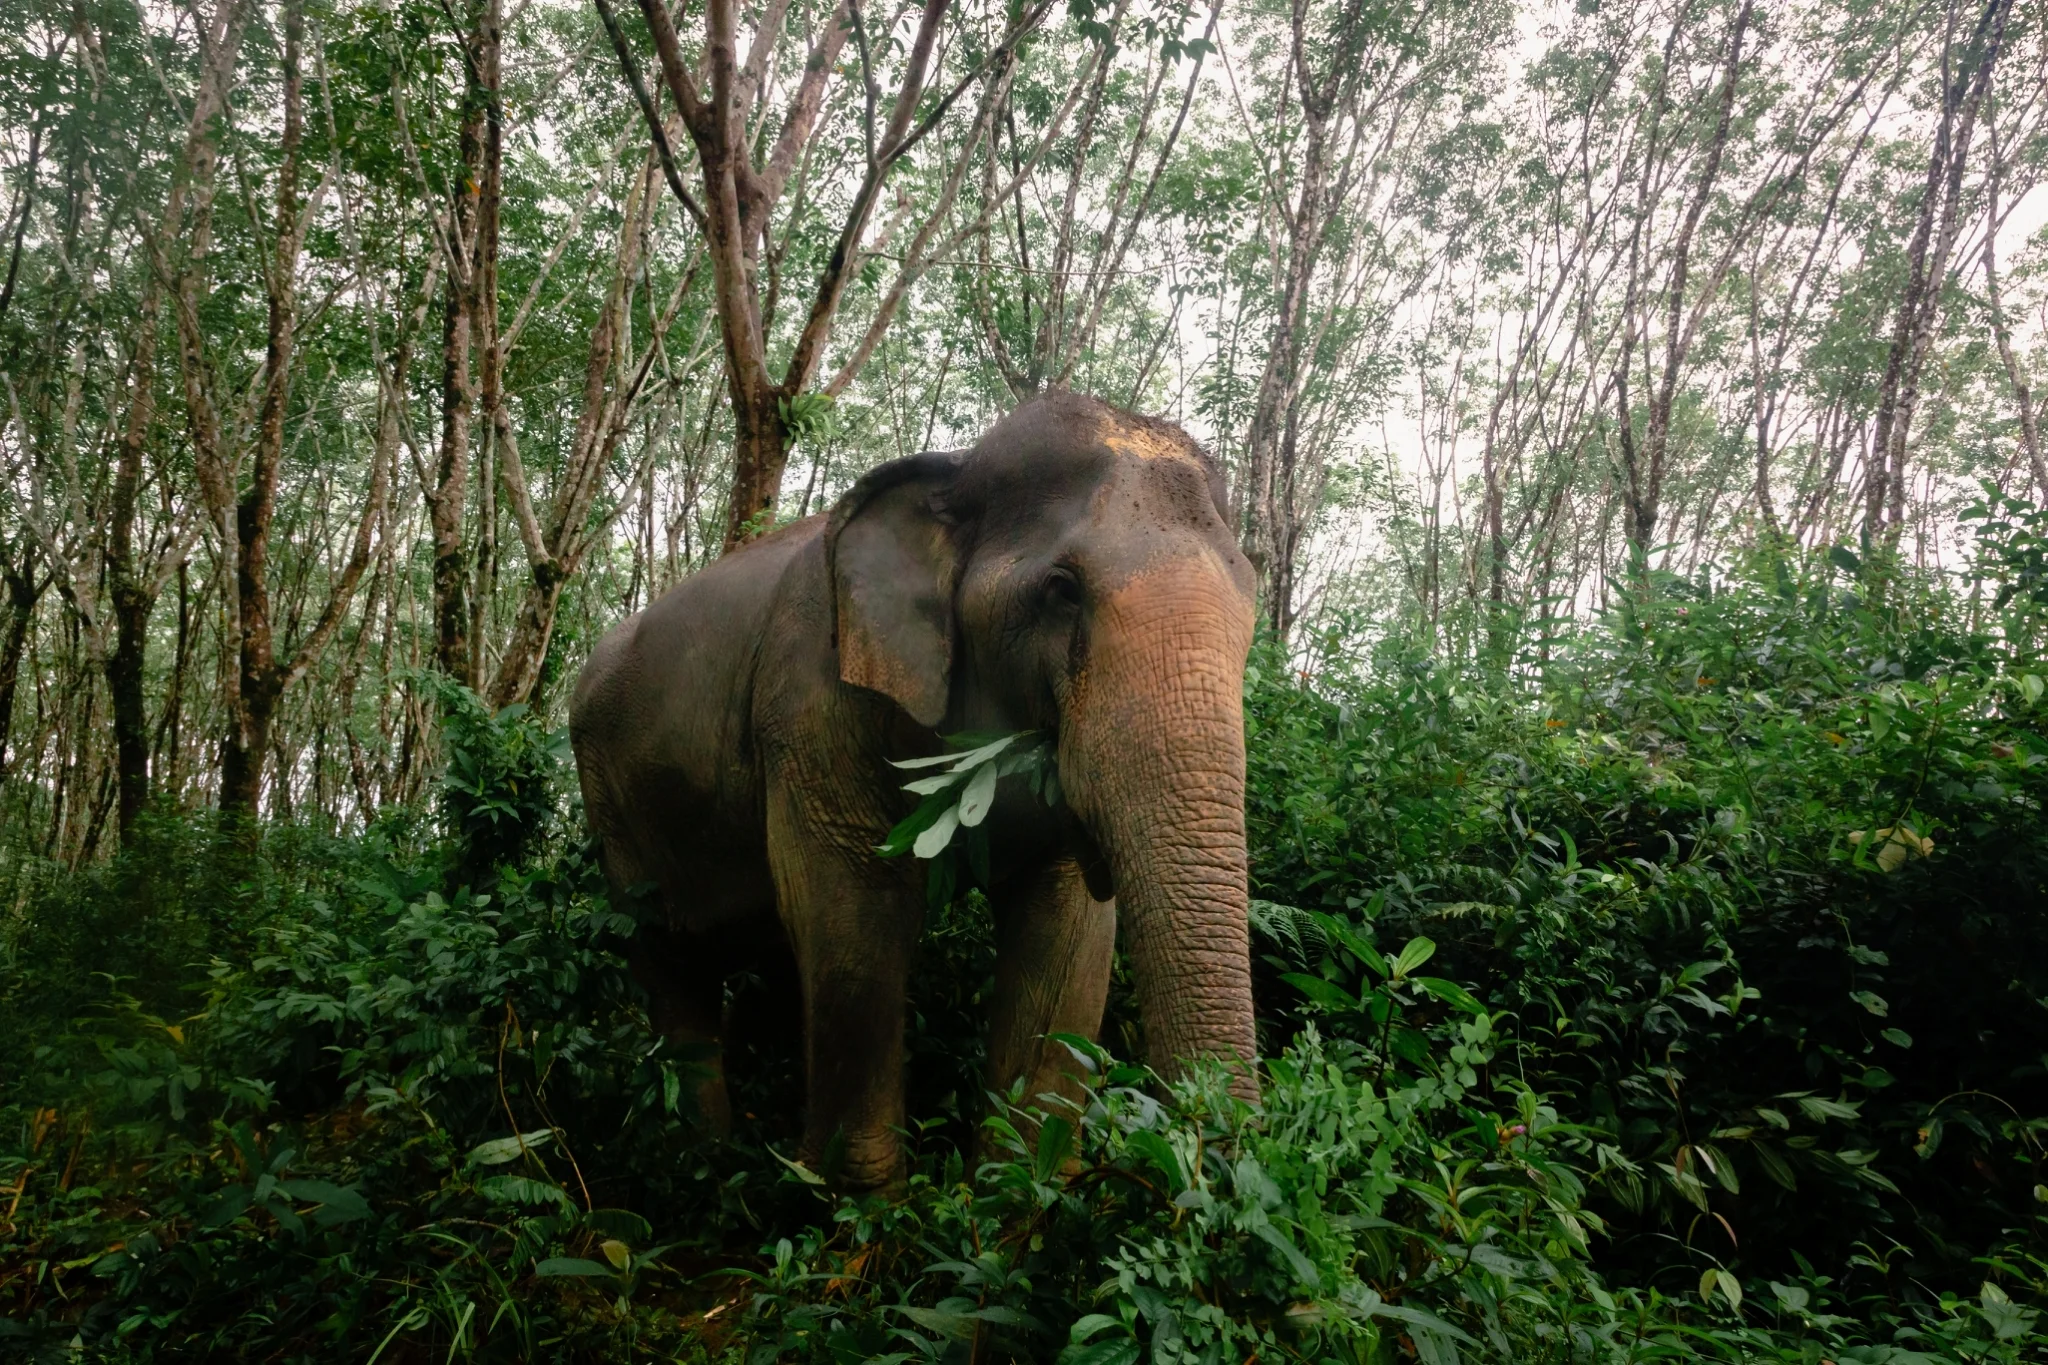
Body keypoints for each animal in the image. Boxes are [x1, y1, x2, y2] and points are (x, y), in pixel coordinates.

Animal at [569, 391, 1259, 1190]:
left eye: (1251, 607)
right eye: (1061, 591)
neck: (954, 471)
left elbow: (1065, 933)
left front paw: (1018, 1190)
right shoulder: (808, 698)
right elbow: (856, 907)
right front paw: (859, 1203)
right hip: (612, 803)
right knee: (668, 962)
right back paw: (701, 1165)